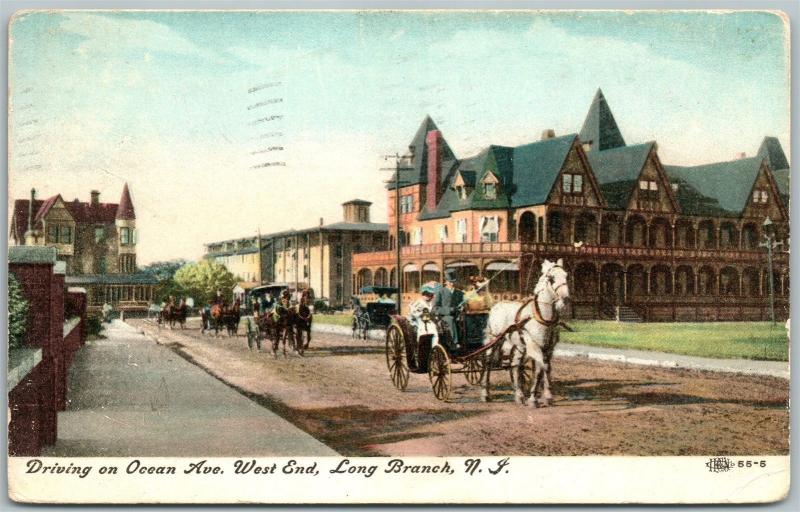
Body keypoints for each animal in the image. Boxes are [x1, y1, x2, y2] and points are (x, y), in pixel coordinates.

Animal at [478, 258, 572, 406]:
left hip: (519, 346)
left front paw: (546, 395)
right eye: (551, 278)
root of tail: (495, 305)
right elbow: (541, 369)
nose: (565, 300)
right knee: (488, 363)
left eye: (566, 275)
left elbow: (545, 368)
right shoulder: (534, 346)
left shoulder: (548, 349)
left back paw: (519, 395)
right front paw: (534, 398)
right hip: (494, 340)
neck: (542, 317)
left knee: (515, 365)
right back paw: (485, 393)